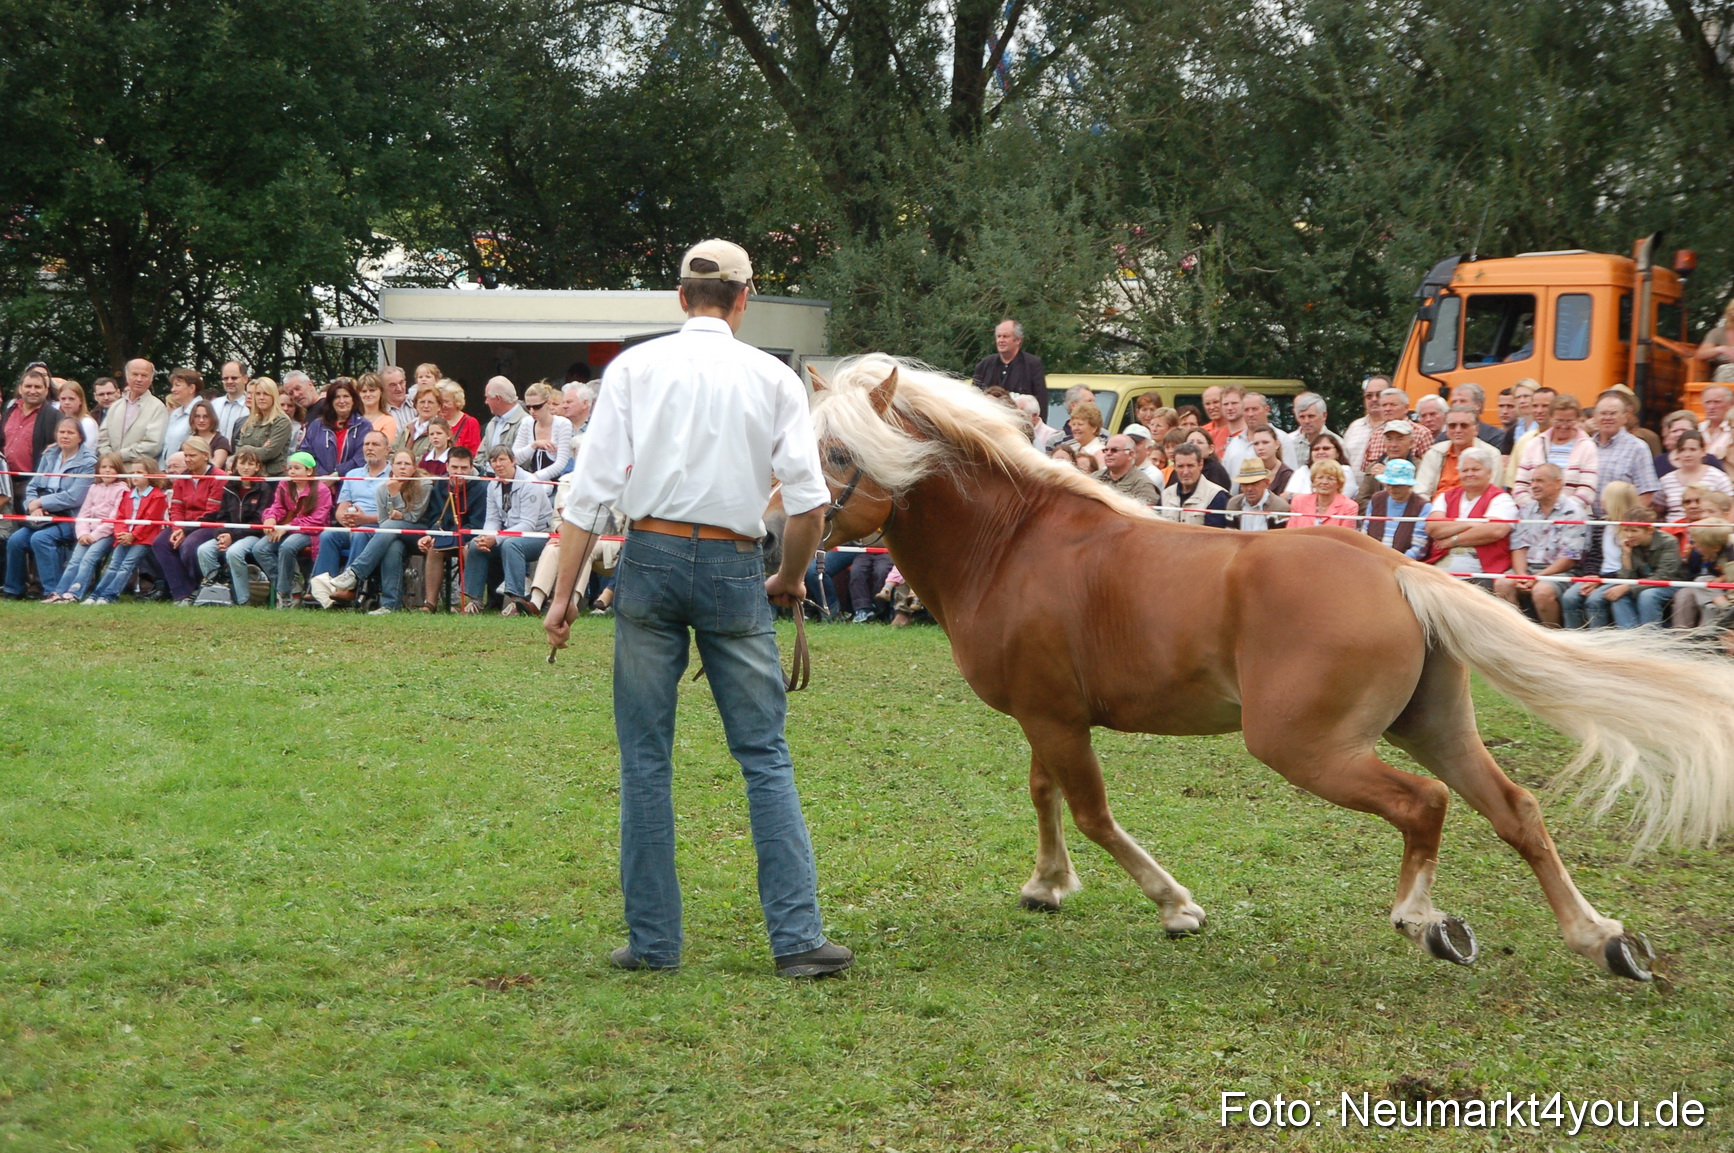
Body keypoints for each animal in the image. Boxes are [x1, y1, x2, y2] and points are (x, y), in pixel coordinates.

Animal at [806, 355, 1734, 982]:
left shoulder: (1056, 718)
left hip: (1305, 745)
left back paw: (1425, 921)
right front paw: (1046, 885)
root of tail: (1394, 569)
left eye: (840, 453)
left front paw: (1176, 906)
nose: (791, 521)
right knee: (1516, 810)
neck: (1013, 544)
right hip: (1432, 723)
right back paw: (1603, 939)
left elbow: (1094, 814)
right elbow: (1046, 795)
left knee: (1424, 804)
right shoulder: (1048, 716)